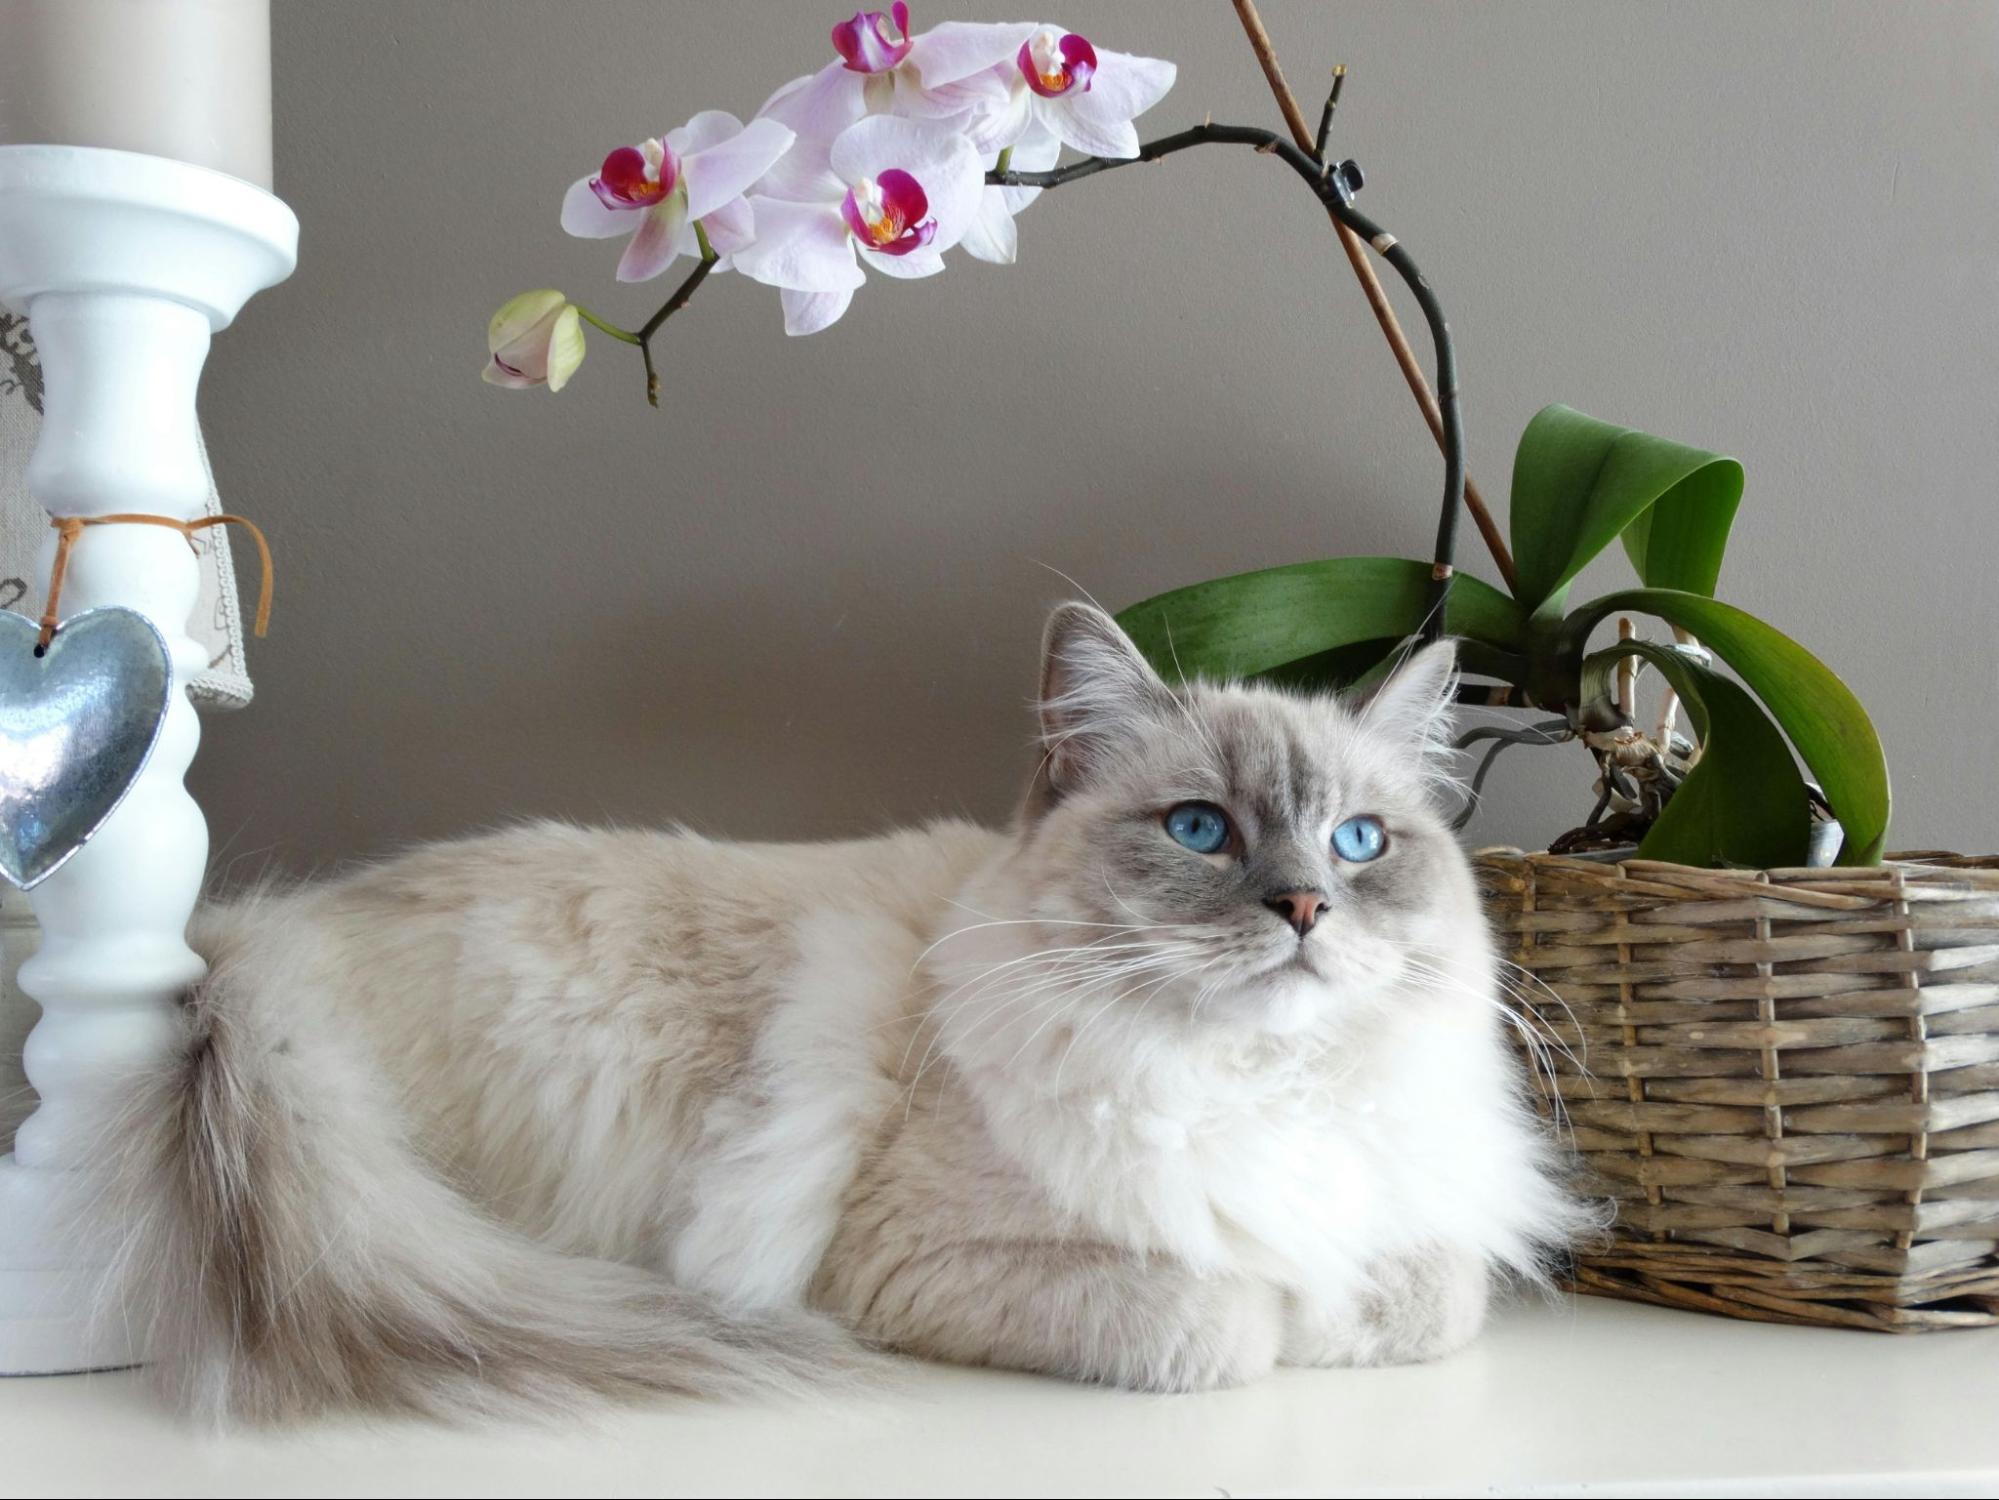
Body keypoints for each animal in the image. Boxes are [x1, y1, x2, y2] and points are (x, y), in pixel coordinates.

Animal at [85, 604, 1583, 1424]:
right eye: (1201, 830)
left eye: (1356, 843)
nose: (1304, 909)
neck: (1250, 1086)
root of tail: (263, 937)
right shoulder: (908, 1262)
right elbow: (1229, 1317)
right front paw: (1286, 1318)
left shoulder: (1414, 1241)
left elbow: (1421, 1296)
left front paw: (1339, 1314)